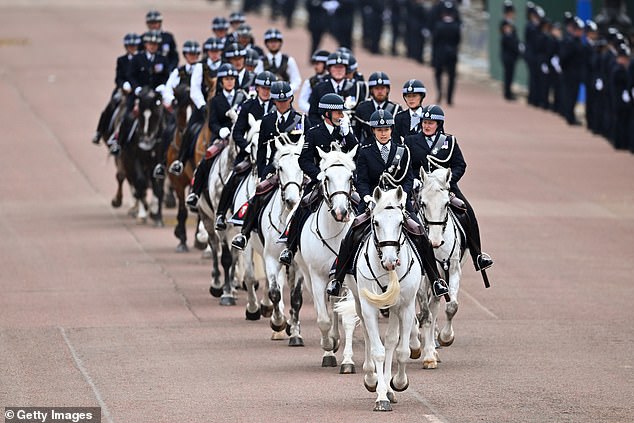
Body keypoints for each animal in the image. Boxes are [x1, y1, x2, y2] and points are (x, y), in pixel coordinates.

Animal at [244, 136, 304, 344]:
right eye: (280, 168)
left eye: (301, 167)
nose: (292, 201)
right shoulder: (271, 258)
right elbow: (275, 292)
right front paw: (278, 322)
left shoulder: (298, 264)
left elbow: (296, 296)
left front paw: (295, 332)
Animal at [292, 144, 358, 372]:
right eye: (326, 177)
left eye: (350, 176)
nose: (341, 212)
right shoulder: (317, 277)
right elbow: (323, 319)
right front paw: (328, 348)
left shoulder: (347, 279)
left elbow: (347, 316)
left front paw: (347, 360)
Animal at [344, 187, 422, 412]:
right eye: (376, 222)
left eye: (401, 222)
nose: (390, 261)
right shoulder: (369, 307)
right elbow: (377, 350)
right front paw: (381, 397)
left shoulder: (405, 307)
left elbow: (401, 350)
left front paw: (397, 384)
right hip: (360, 303)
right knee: (369, 337)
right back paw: (372, 379)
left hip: (394, 309)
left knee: (390, 341)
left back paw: (388, 387)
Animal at [412, 167, 466, 370]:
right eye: (423, 203)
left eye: (446, 204)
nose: (435, 242)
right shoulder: (422, 279)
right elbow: (425, 314)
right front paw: (424, 352)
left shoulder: (451, 271)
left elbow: (451, 306)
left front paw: (445, 338)